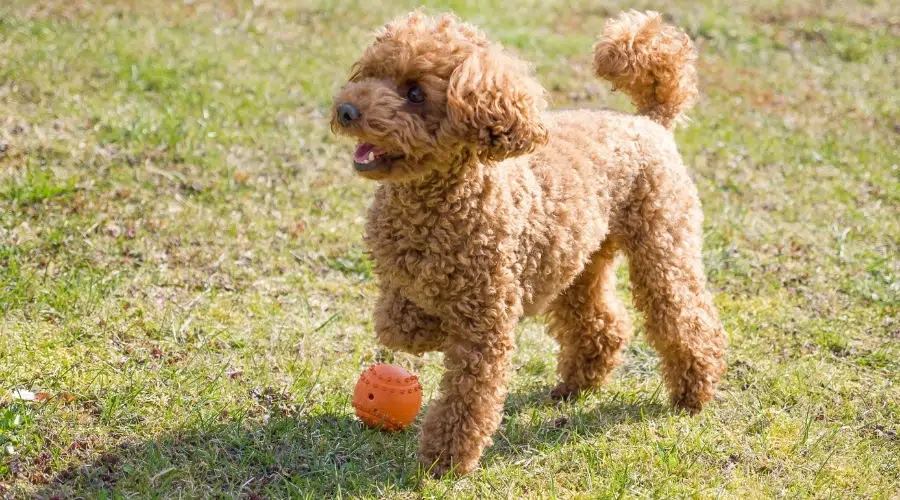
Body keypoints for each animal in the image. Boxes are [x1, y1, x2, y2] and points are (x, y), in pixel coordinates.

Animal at [334, 9, 728, 474]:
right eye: (371, 73)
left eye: (415, 92)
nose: (346, 110)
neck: (433, 199)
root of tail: (650, 121)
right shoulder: (397, 281)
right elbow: (396, 325)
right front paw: (425, 326)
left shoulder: (486, 323)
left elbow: (467, 398)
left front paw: (445, 461)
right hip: (579, 259)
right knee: (603, 322)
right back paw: (577, 385)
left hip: (662, 242)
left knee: (685, 317)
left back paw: (693, 392)